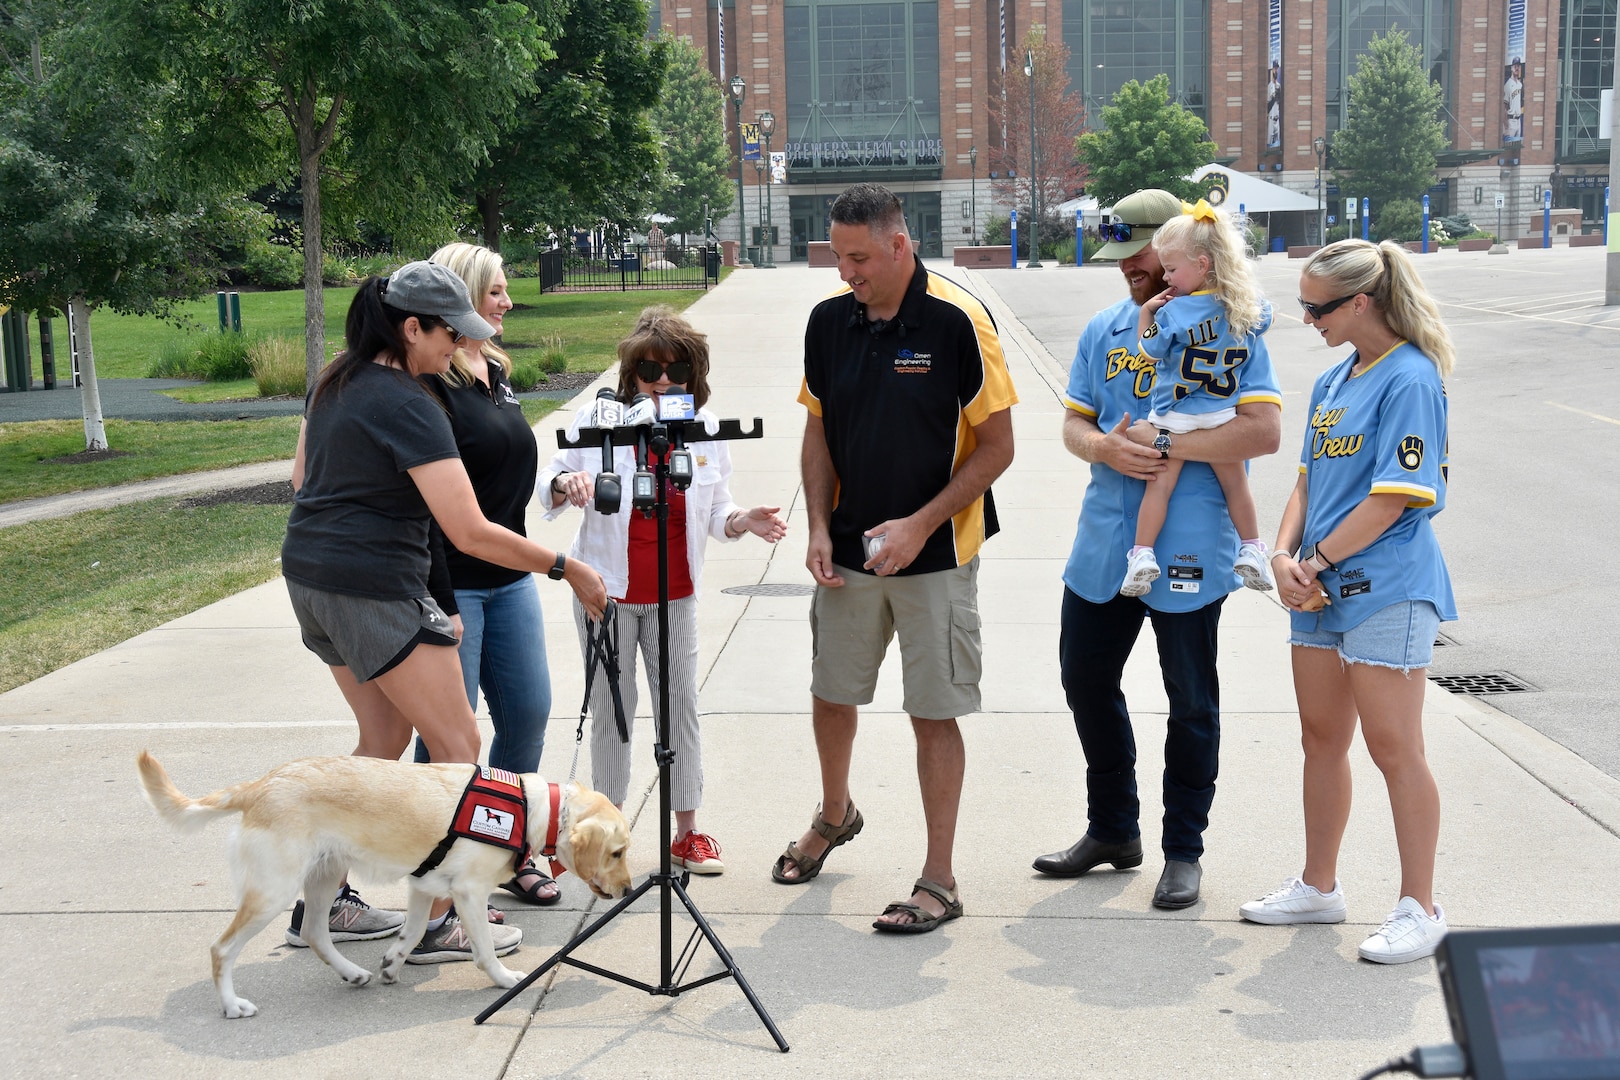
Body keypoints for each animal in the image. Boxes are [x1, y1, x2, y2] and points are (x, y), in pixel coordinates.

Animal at [136, 751, 628, 1023]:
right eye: (618, 852)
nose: (626, 892)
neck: (532, 808)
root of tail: (259, 786)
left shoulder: (424, 885)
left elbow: (412, 933)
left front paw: (393, 963)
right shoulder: (469, 892)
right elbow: (485, 950)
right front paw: (505, 980)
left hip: (323, 876)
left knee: (314, 932)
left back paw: (352, 973)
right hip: (275, 889)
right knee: (222, 949)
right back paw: (232, 1005)